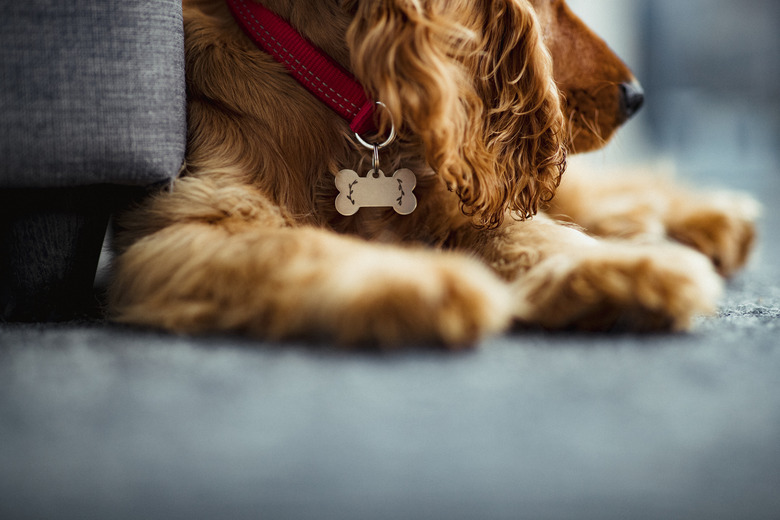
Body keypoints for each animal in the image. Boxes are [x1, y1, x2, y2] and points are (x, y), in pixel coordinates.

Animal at [108, 0, 756, 348]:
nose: (636, 96)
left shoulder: (455, 197)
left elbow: (531, 231)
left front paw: (632, 270)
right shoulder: (189, 226)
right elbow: (296, 246)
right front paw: (427, 283)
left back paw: (704, 221)